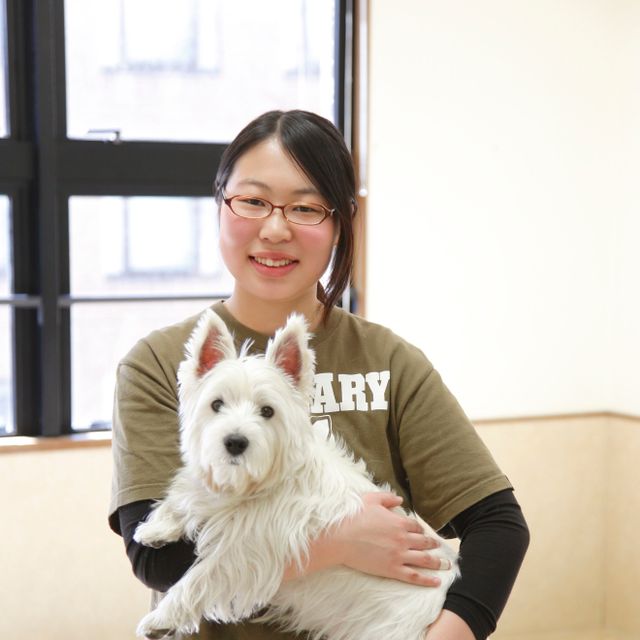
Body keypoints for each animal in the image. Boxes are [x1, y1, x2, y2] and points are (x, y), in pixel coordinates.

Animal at [134, 310, 459, 640]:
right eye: (216, 404)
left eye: (267, 411)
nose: (235, 442)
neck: (257, 483)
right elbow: (188, 496)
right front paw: (155, 528)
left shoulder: (248, 551)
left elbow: (202, 575)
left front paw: (162, 617)